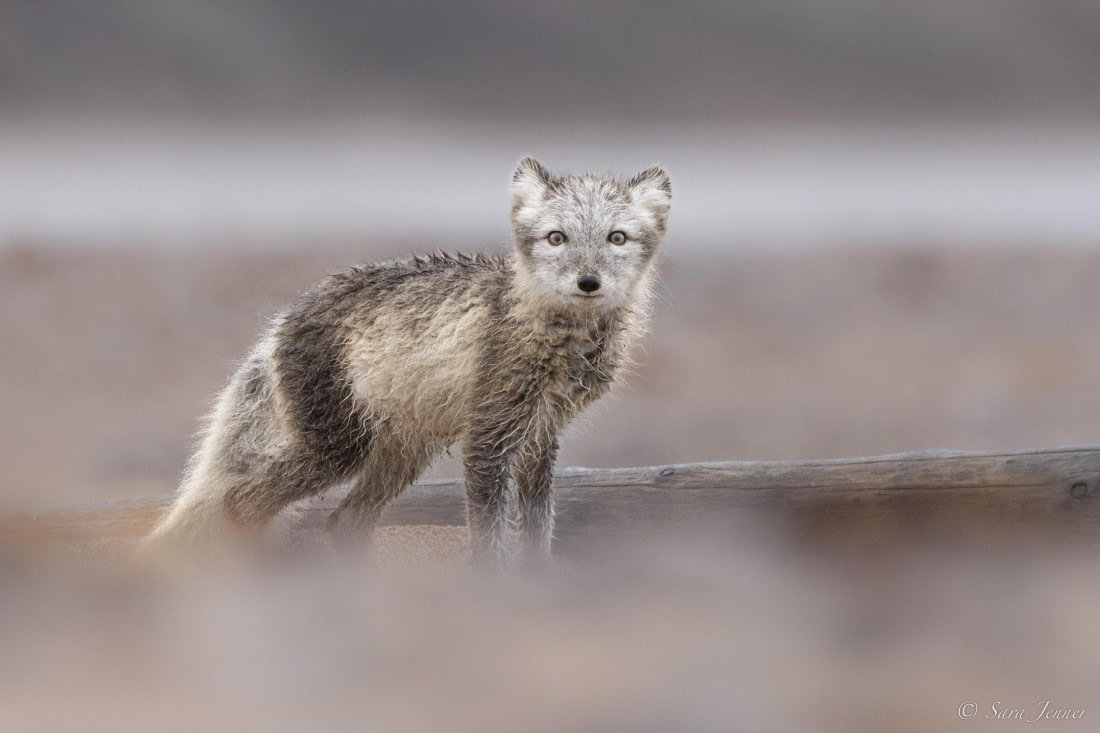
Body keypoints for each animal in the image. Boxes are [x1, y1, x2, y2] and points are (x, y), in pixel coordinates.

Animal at [141, 157, 671, 565]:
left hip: (400, 454)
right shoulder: (490, 438)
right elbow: (490, 537)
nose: (588, 282)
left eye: (617, 238)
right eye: (556, 238)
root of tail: (283, 318)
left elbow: (539, 530)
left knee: (344, 521)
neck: (554, 332)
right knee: (238, 502)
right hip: (340, 449)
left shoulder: (540, 434)